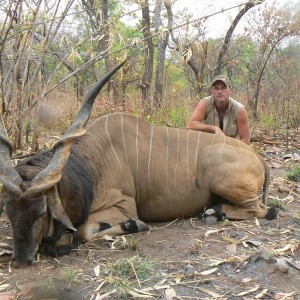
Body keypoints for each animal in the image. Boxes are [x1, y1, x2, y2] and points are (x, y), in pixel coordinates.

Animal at [0, 60, 276, 268]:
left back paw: (214, 212)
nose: (20, 261)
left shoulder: (124, 205)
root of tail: (258, 157)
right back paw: (215, 211)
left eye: (41, 212)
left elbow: (83, 231)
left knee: (264, 210)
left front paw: (134, 225)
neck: (91, 162)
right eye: (9, 212)